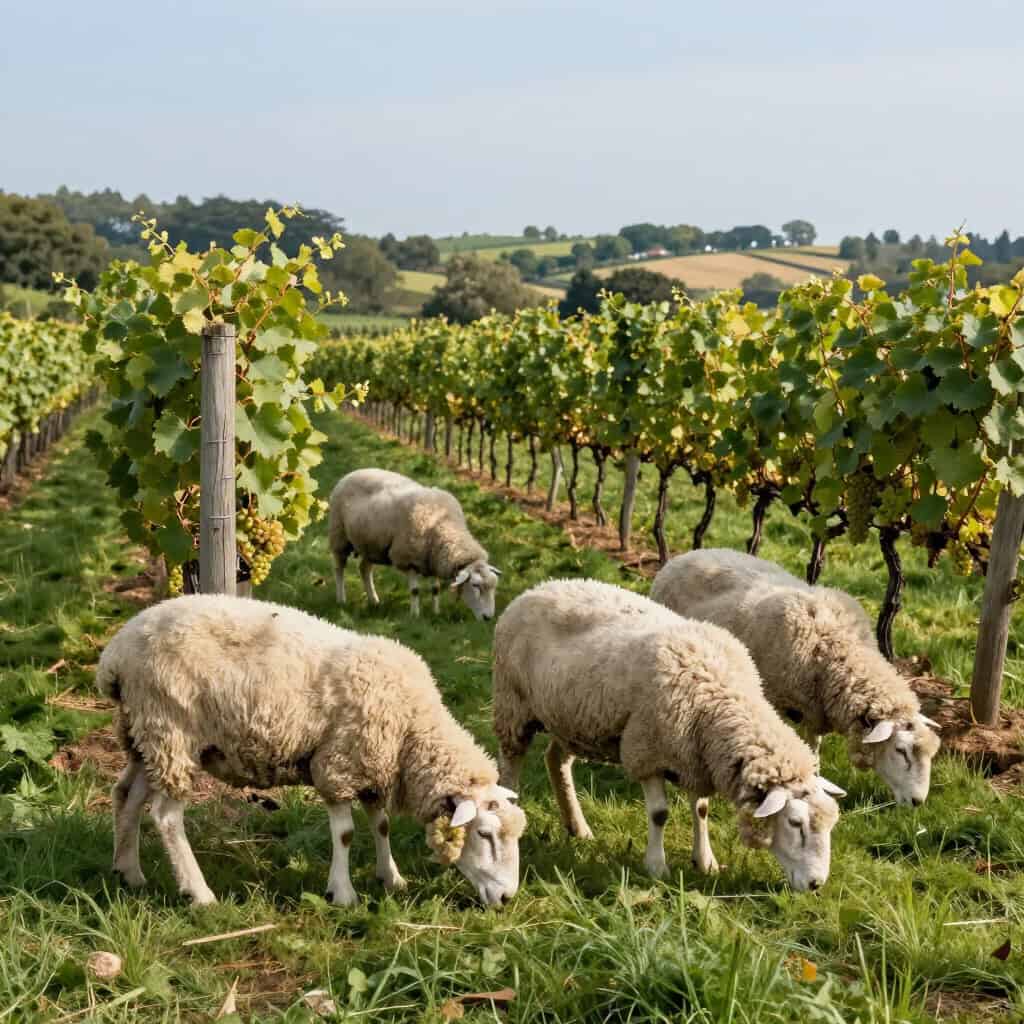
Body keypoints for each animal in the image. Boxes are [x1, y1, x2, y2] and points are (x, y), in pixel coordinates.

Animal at [95, 594, 525, 908]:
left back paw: (127, 872)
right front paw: (343, 893)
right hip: (172, 730)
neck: (411, 728)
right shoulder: (337, 765)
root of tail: (115, 654)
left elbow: (381, 824)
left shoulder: (372, 768)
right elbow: (347, 833)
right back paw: (199, 893)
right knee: (166, 816)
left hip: (143, 736)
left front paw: (392, 878)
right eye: (484, 834)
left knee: (126, 796)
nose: (507, 898)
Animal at [328, 468, 501, 621]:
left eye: (493, 587)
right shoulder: (408, 558)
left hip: (371, 545)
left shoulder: (433, 559)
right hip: (339, 535)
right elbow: (415, 590)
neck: (442, 524)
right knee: (339, 569)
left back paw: (374, 601)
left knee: (364, 569)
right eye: (475, 585)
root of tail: (353, 472)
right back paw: (341, 599)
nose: (488, 618)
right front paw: (415, 615)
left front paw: (436, 612)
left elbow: (436, 589)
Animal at [493, 578, 844, 892]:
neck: (717, 696)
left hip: (572, 719)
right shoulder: (647, 752)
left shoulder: (694, 758)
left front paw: (705, 861)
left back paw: (578, 827)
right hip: (513, 704)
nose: (816, 885)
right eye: (795, 824)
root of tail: (541, 586)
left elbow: (701, 810)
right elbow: (659, 814)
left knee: (556, 760)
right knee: (510, 762)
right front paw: (656, 866)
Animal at [650, 549, 941, 806]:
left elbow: (814, 744)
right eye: (900, 750)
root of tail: (683, 556)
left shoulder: (815, 710)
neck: (837, 646)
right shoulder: (780, 699)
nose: (918, 802)